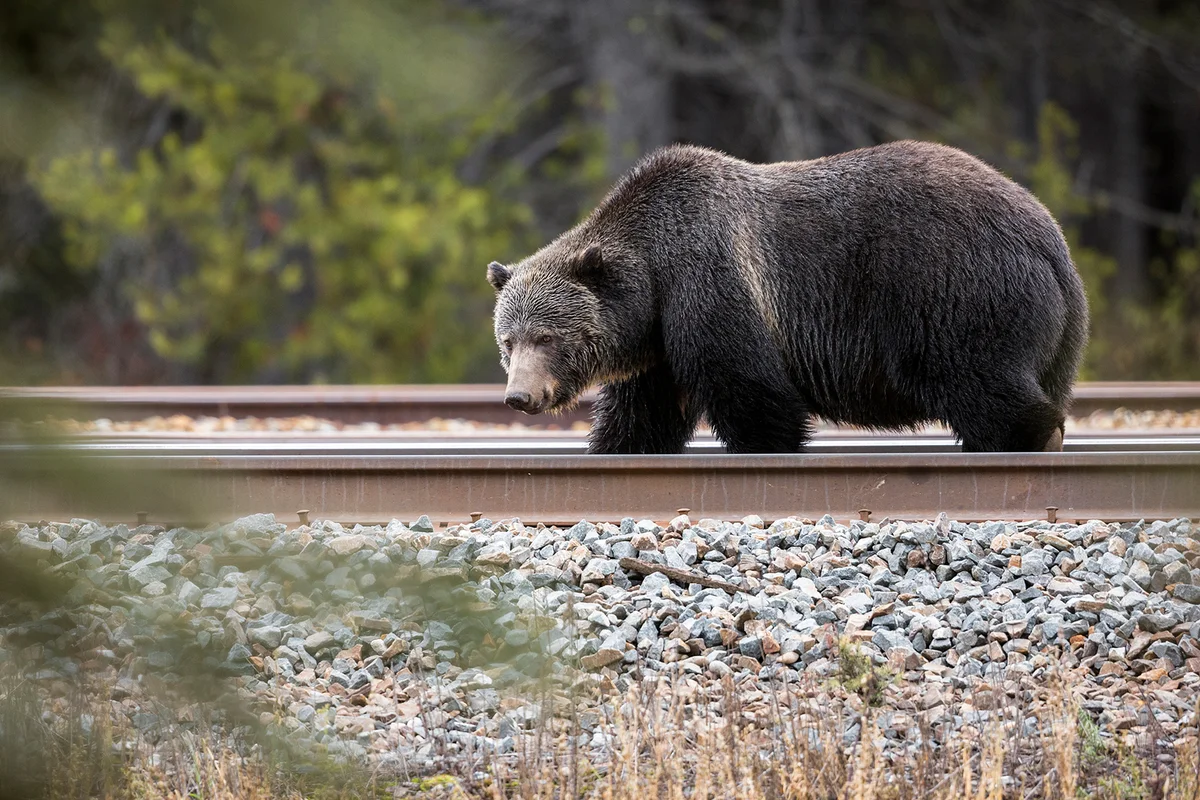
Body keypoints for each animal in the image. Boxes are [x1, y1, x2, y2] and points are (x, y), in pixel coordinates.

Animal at [486, 140, 1090, 455]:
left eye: (548, 337)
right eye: (508, 341)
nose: (520, 396)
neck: (653, 278)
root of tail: (1049, 237)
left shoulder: (710, 279)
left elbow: (749, 388)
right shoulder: (656, 343)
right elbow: (642, 415)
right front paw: (618, 446)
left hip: (952, 289)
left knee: (973, 376)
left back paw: (1031, 437)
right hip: (1049, 331)